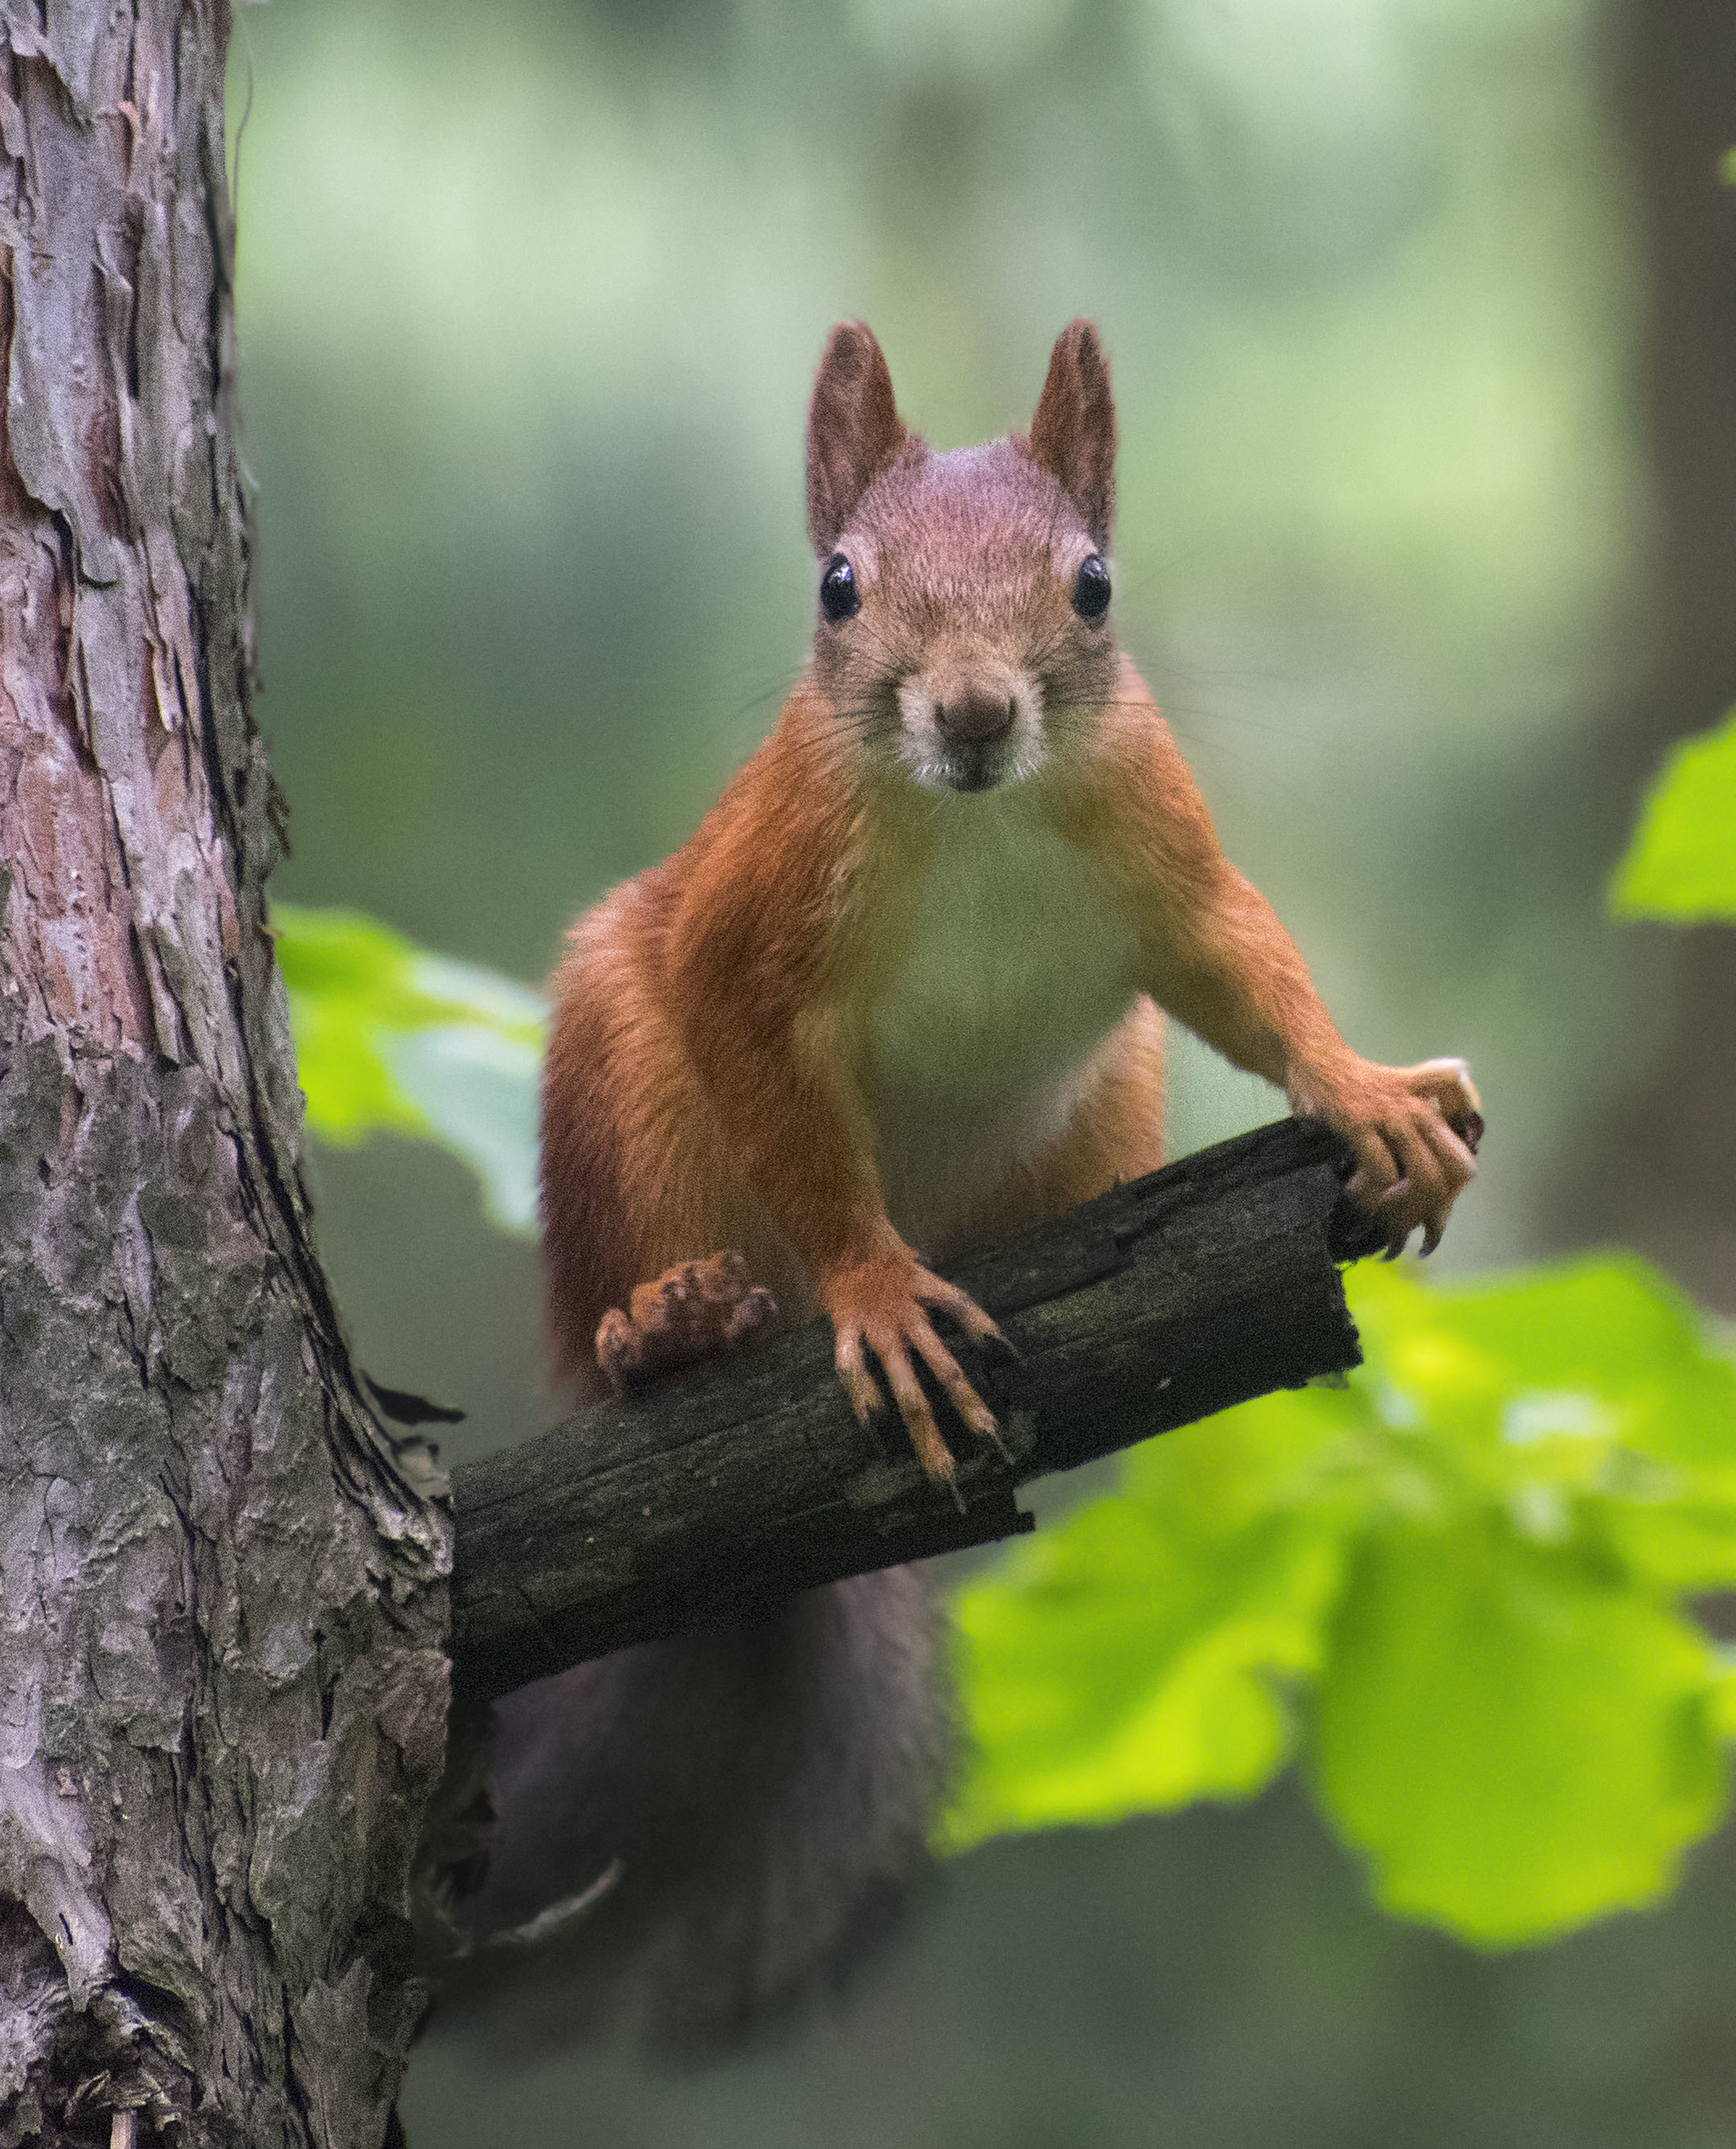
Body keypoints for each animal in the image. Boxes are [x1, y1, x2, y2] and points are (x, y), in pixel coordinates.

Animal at [457, 318, 1477, 2046]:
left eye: (1094, 584)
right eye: (837, 587)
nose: (978, 713)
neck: (981, 822)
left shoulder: (1168, 860)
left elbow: (1252, 975)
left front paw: (1362, 1092)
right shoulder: (747, 939)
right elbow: (797, 1132)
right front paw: (874, 1292)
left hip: (1109, 1086)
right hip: (619, 1086)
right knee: (627, 1313)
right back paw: (668, 1329)